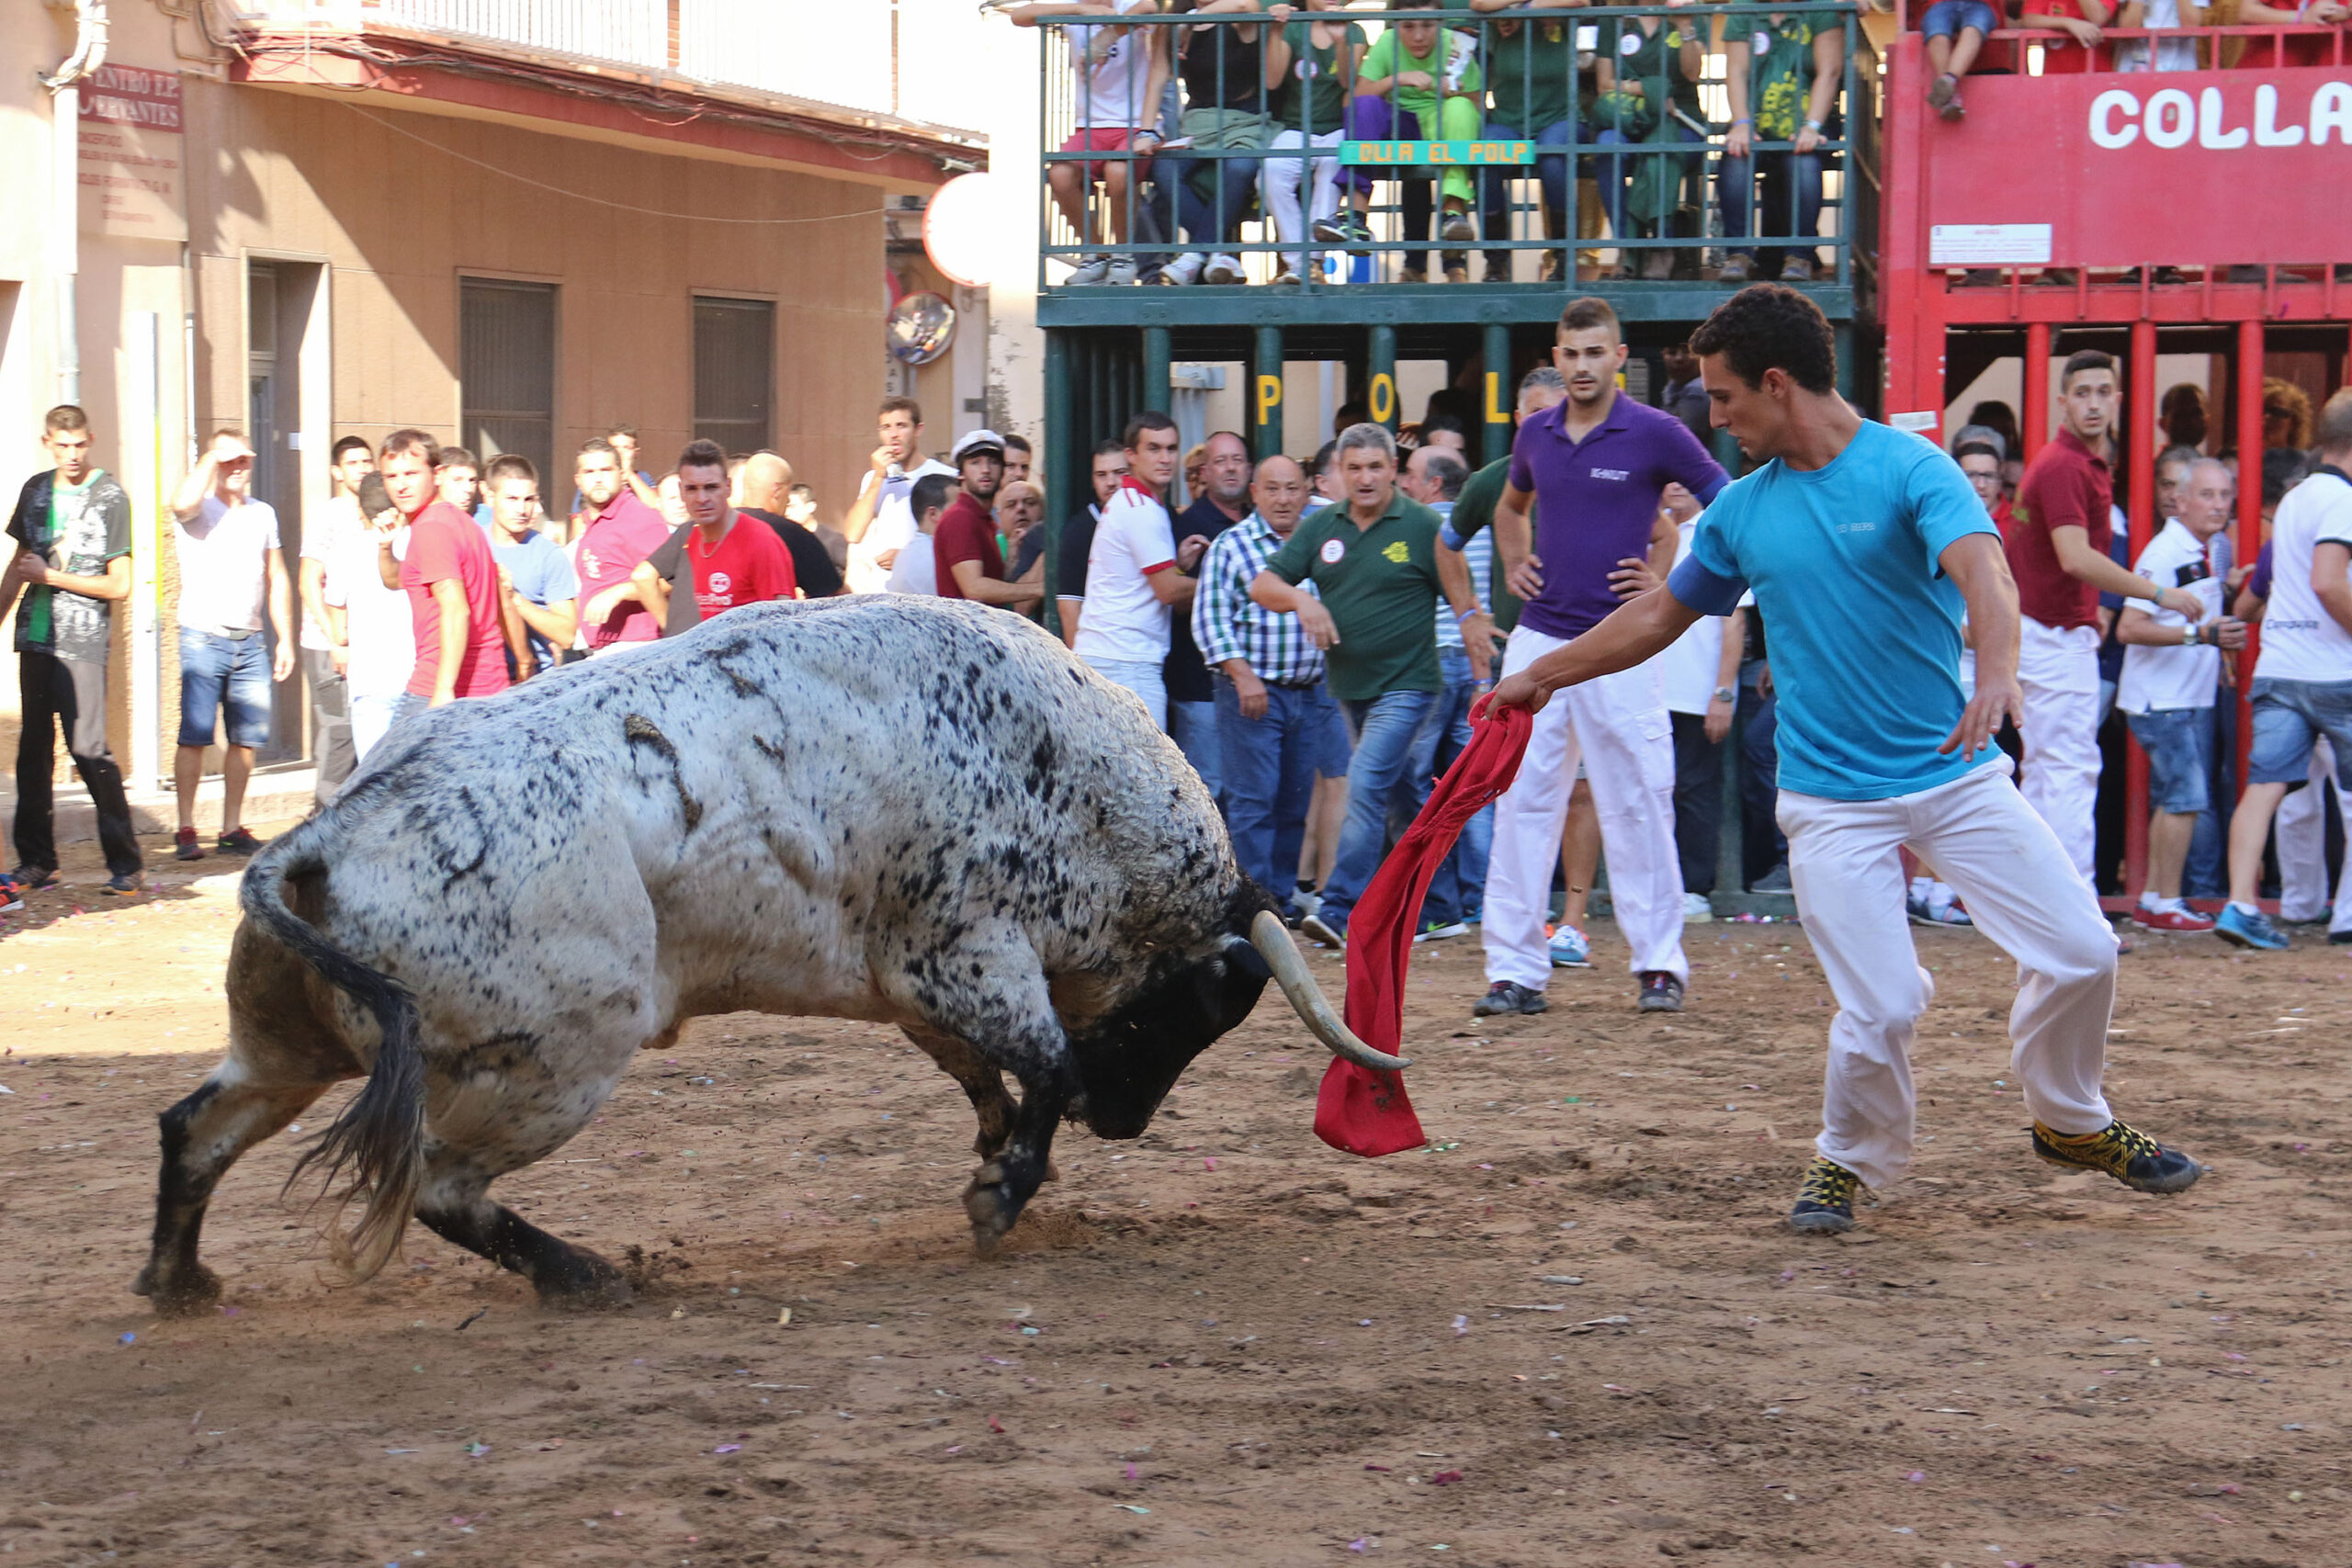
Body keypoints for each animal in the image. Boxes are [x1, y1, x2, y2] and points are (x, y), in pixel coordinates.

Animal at [133, 597, 1392, 1316]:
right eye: (1201, 1005)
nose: (1124, 1126)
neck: (1068, 772)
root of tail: (324, 833)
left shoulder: (920, 988)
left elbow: (996, 1080)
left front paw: (994, 1158)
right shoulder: (969, 956)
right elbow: (1046, 1068)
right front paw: (998, 1195)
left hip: (287, 1046)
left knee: (197, 1128)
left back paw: (179, 1281)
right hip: (559, 1058)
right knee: (442, 1184)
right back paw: (586, 1278)